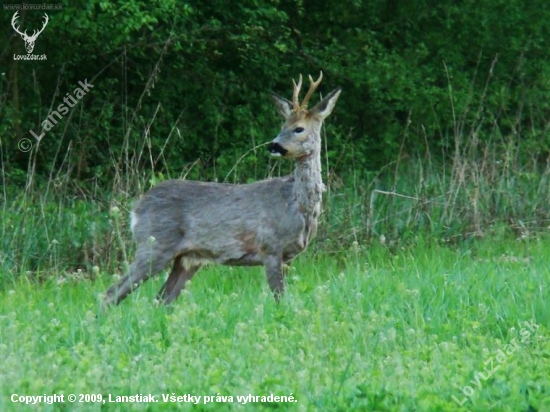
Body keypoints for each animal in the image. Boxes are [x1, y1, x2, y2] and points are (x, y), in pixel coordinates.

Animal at [100, 71, 340, 308]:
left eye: (299, 128)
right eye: (282, 127)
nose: (274, 145)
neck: (295, 205)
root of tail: (136, 209)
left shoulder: (286, 257)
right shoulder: (270, 247)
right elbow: (280, 300)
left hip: (186, 259)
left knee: (161, 301)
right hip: (154, 244)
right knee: (111, 294)